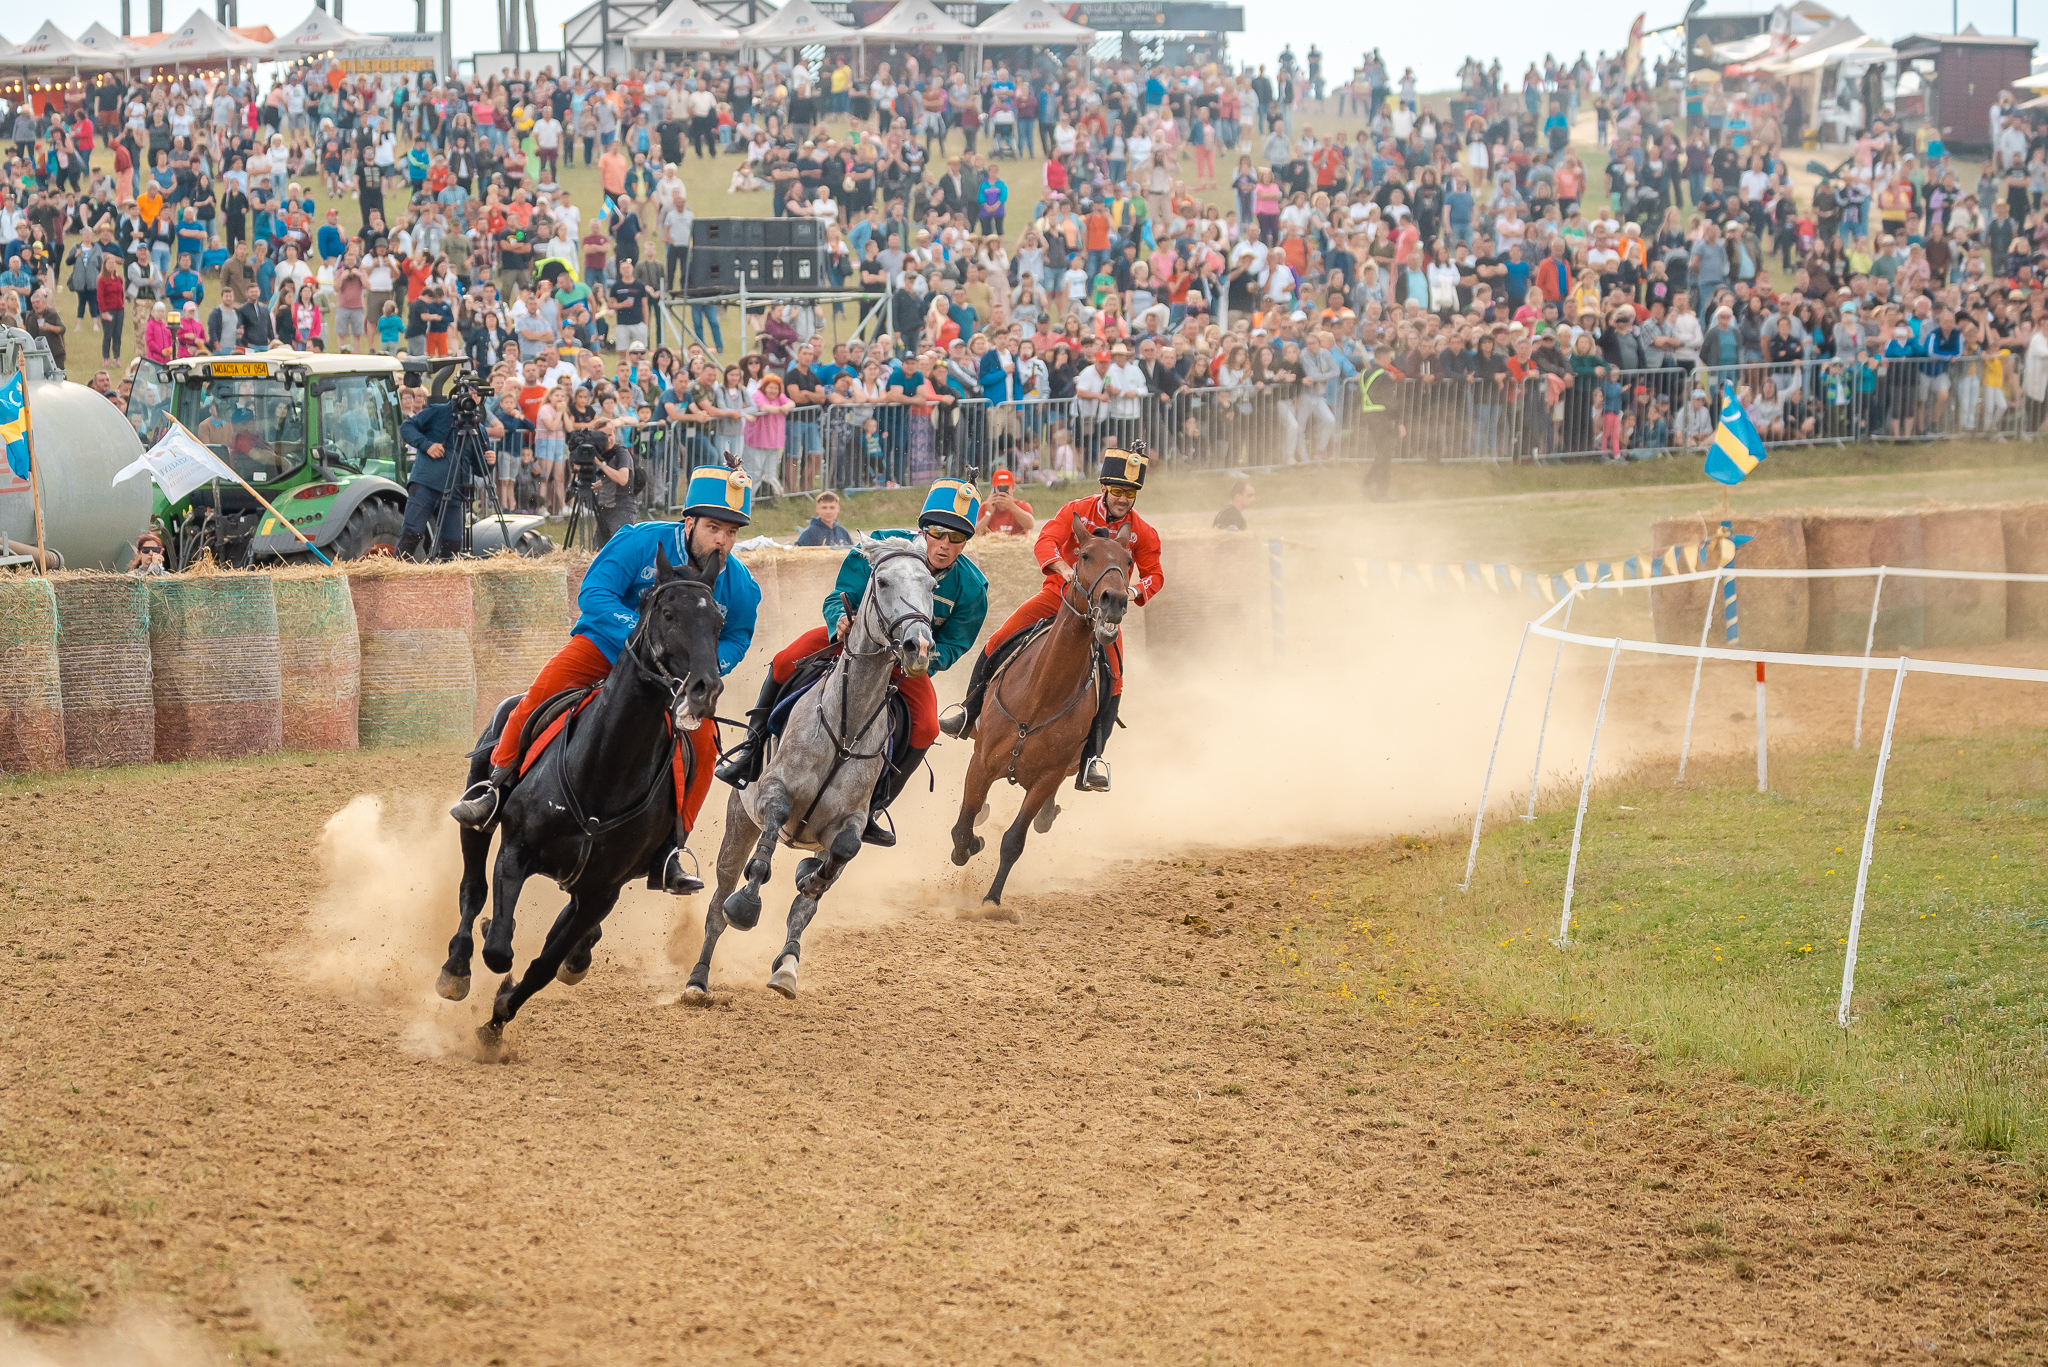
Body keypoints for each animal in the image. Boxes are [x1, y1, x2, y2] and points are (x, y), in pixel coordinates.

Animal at [436, 545, 724, 1057]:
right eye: (668, 613)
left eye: (720, 621)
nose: (705, 688)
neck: (605, 769)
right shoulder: (515, 851)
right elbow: (500, 948)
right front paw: (492, 956)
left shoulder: (601, 892)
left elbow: (542, 965)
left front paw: (496, 1022)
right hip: (478, 821)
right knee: (472, 891)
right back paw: (455, 968)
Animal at [692, 541, 937, 1000]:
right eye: (882, 581)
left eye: (933, 586)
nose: (918, 647)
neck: (846, 726)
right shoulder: (773, 793)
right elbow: (764, 856)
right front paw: (747, 905)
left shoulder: (849, 822)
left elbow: (836, 861)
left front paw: (809, 879)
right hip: (738, 822)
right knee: (718, 903)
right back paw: (697, 978)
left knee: (801, 910)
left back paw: (787, 967)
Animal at [946, 528, 1138, 909]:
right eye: (1084, 555)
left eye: (1128, 561)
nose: (1115, 600)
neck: (1041, 694)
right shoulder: (982, 762)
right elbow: (962, 829)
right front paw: (971, 843)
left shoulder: (1047, 778)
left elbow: (1013, 840)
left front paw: (992, 900)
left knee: (1043, 816)